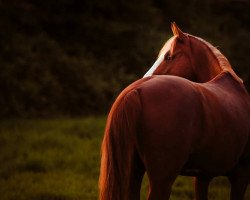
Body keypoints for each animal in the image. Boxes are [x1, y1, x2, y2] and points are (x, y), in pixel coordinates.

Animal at [99, 22, 250, 199]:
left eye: (169, 57)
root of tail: (136, 91)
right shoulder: (241, 174)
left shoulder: (203, 176)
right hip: (162, 180)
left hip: (133, 174)